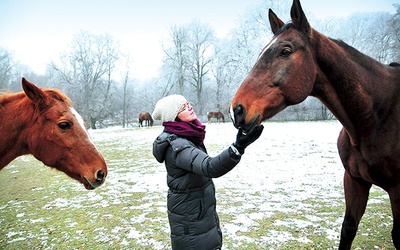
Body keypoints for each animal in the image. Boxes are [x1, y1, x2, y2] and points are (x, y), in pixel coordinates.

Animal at [230, 0, 400, 249]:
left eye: (285, 51)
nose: (237, 109)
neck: (375, 116)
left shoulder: (397, 190)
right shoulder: (354, 180)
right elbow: (348, 229)